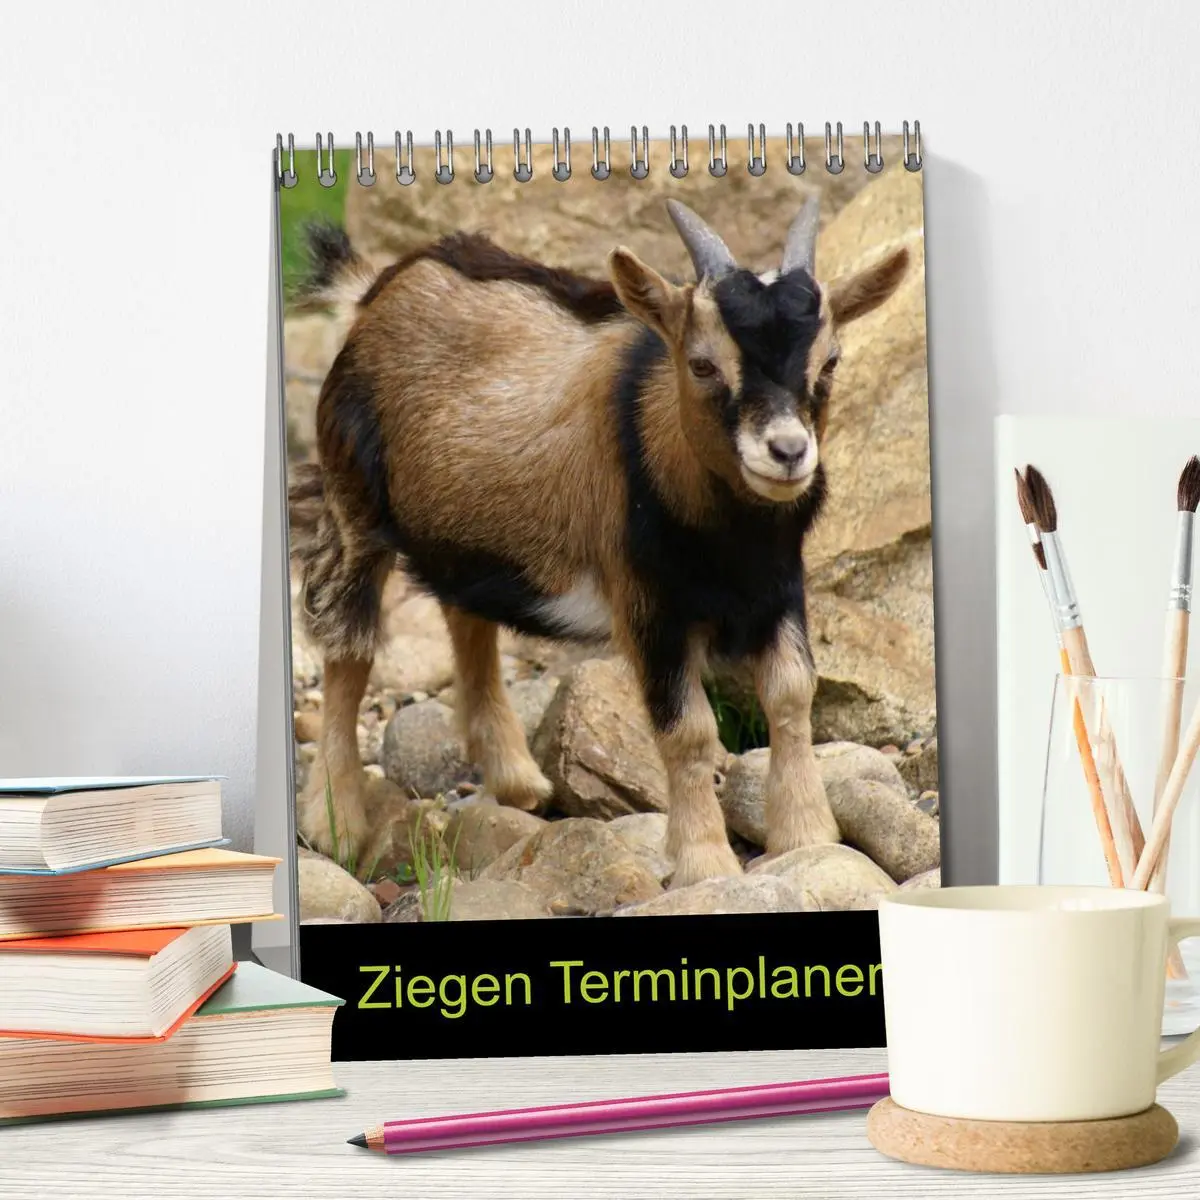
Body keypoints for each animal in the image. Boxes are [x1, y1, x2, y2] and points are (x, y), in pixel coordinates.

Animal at [289, 198, 910, 888]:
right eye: (702, 364)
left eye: (830, 362)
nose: (788, 451)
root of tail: (375, 289)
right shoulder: (648, 602)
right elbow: (688, 729)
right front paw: (704, 862)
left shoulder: (779, 585)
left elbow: (792, 695)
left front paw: (807, 836)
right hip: (353, 501)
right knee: (348, 648)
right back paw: (336, 822)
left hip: (467, 530)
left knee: (465, 615)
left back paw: (515, 779)